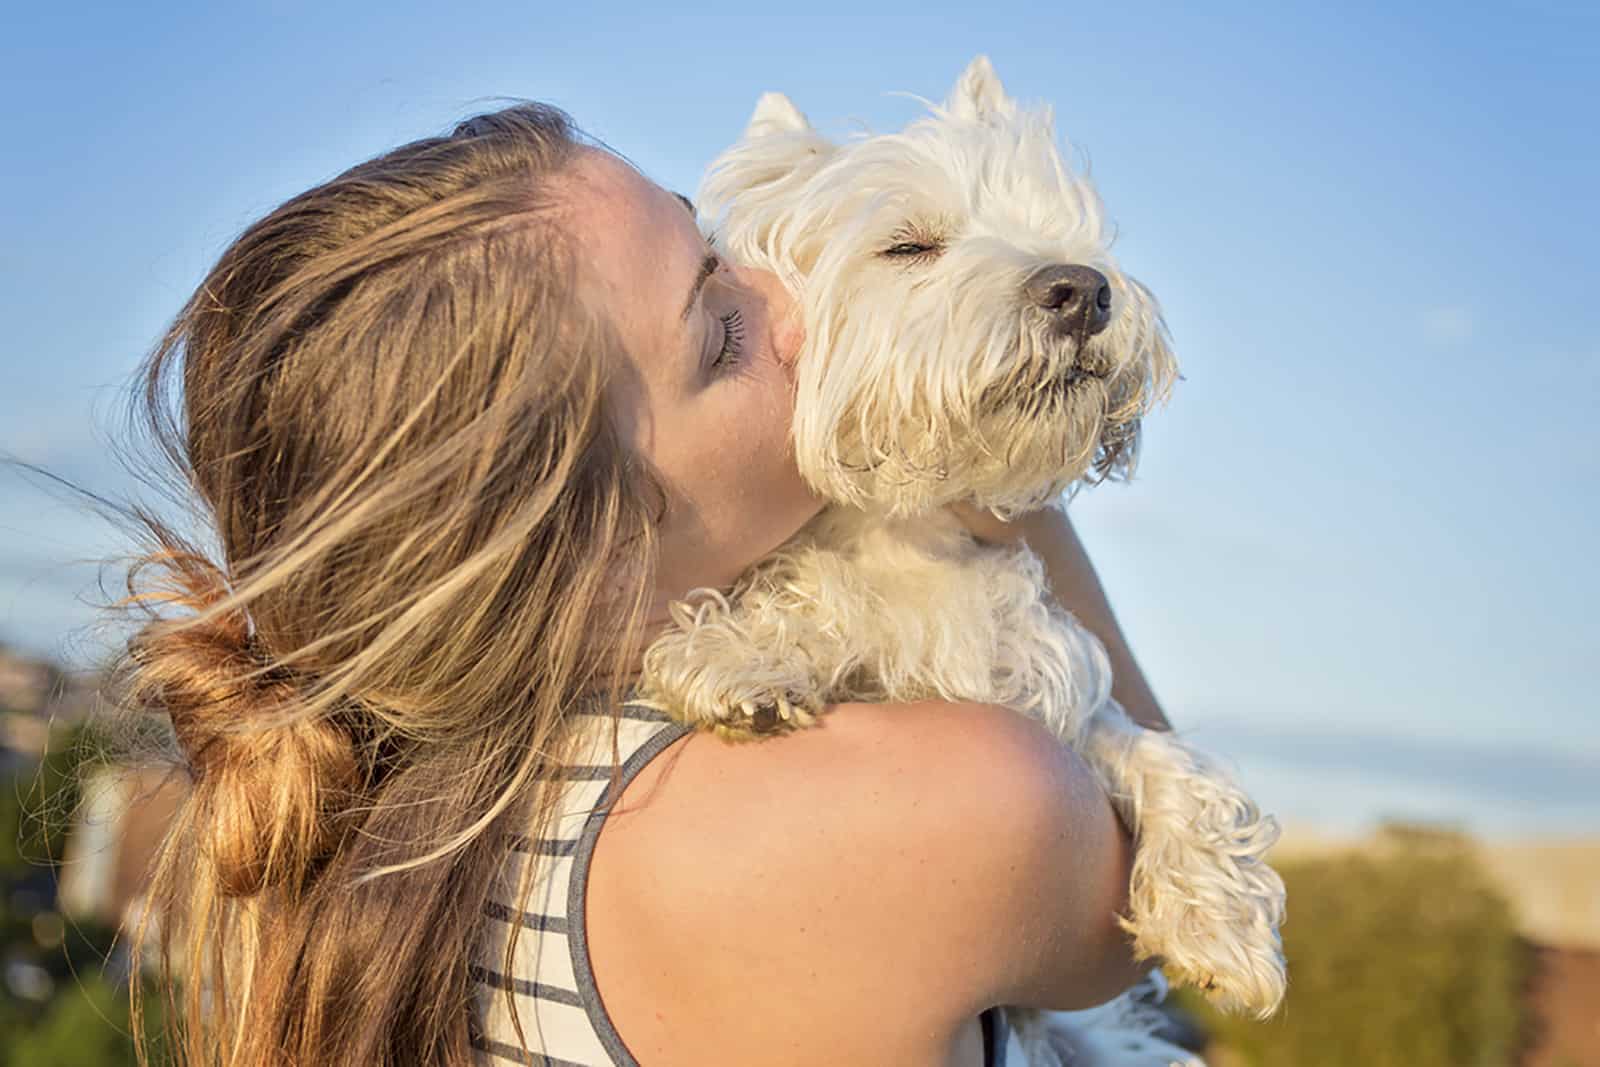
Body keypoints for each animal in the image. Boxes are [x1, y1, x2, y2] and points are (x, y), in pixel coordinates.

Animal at [640, 60, 1286, 1067]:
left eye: (1060, 227)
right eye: (908, 245)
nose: (1083, 290)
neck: (911, 534)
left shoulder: (1048, 700)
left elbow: (1164, 757)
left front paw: (1221, 925)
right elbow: (811, 602)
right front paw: (740, 657)